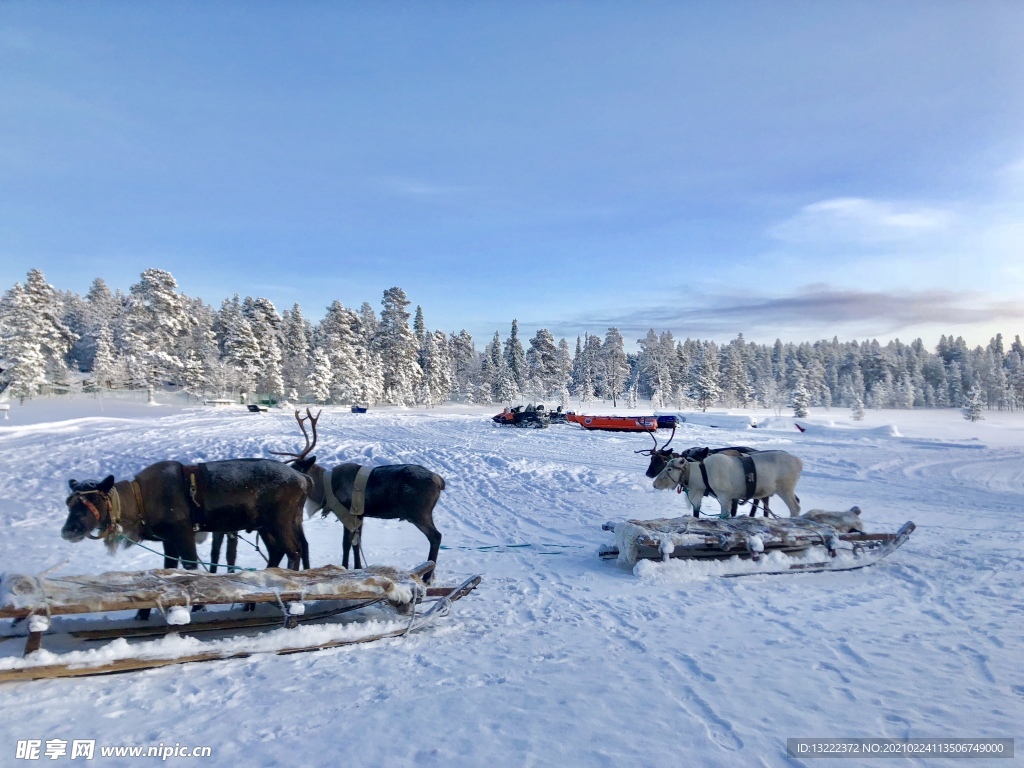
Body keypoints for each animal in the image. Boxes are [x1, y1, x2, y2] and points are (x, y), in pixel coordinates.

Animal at [275, 409, 445, 583]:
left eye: (296, 467)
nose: (285, 476)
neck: (326, 490)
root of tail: (440, 481)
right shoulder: (360, 515)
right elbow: (356, 544)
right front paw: (358, 567)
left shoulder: (348, 512)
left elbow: (345, 543)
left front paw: (344, 566)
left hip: (419, 512)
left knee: (436, 536)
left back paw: (427, 577)